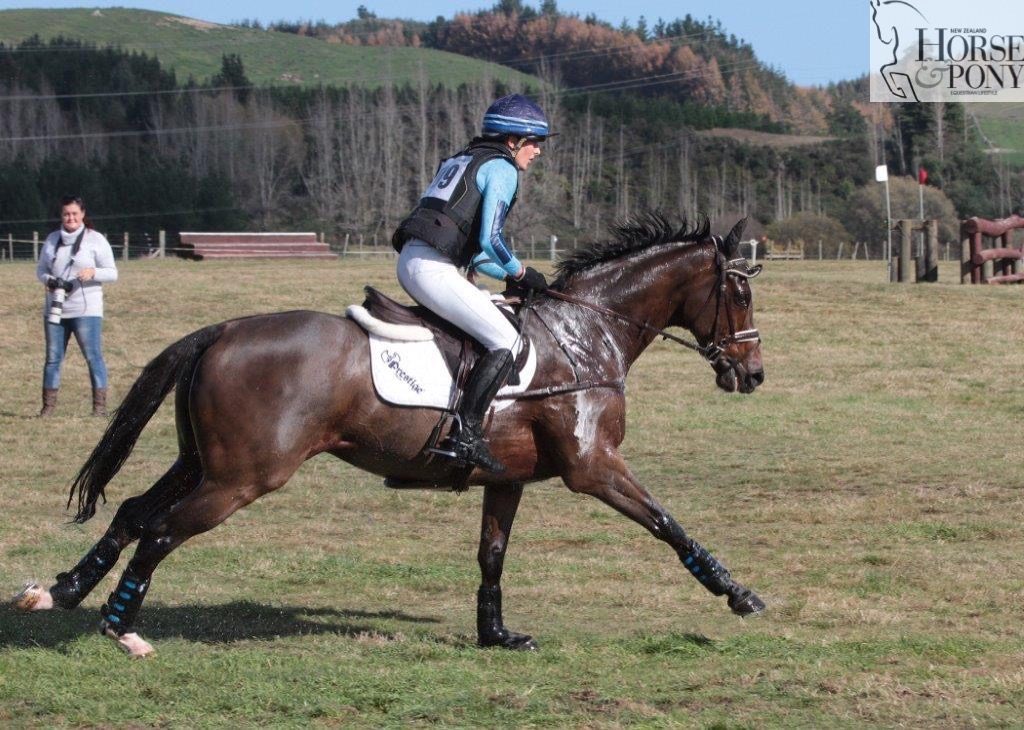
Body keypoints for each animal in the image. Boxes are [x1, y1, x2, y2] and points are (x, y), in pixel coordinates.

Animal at [16, 210, 765, 655]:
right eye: (741, 292)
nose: (752, 374)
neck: (588, 331)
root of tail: (223, 329)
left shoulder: (509, 478)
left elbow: (492, 556)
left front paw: (496, 634)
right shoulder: (594, 465)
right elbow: (667, 522)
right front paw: (736, 593)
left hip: (202, 461)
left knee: (134, 512)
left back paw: (63, 590)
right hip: (242, 476)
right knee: (161, 530)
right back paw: (121, 628)